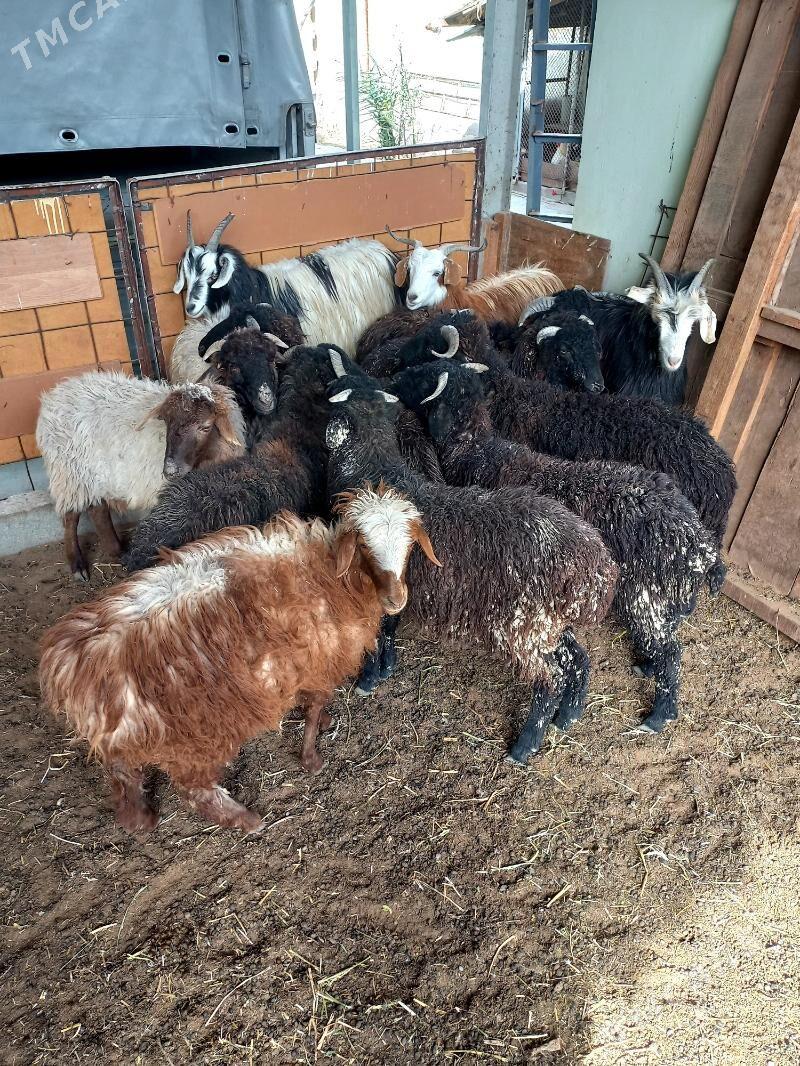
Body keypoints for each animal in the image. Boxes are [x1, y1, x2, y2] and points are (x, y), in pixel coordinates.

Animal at [36, 372, 246, 581]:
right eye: (167, 422)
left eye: (205, 426)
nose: (170, 470)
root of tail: (56, 394)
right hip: (69, 473)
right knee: (70, 518)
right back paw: (78, 566)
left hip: (95, 476)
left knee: (98, 509)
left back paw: (116, 550)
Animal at [40, 485, 433, 833]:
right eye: (365, 546)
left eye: (410, 545)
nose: (396, 599)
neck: (331, 571)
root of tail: (69, 665)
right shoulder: (319, 660)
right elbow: (315, 705)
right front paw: (312, 758)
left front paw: (322, 726)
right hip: (189, 736)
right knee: (194, 791)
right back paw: (246, 820)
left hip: (128, 733)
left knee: (123, 772)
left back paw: (138, 818)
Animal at [324, 351, 619, 762]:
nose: (394, 377)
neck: (375, 469)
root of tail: (596, 565)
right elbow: (389, 626)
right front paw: (386, 666)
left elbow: (375, 631)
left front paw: (368, 677)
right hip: (549, 622)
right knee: (576, 657)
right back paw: (569, 714)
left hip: (523, 627)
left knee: (550, 678)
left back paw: (526, 744)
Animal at [393, 358, 719, 733]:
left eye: (425, 377)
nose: (394, 378)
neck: (478, 450)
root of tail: (699, 541)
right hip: (658, 594)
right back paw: (646, 668)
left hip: (644, 593)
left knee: (671, 651)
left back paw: (659, 713)